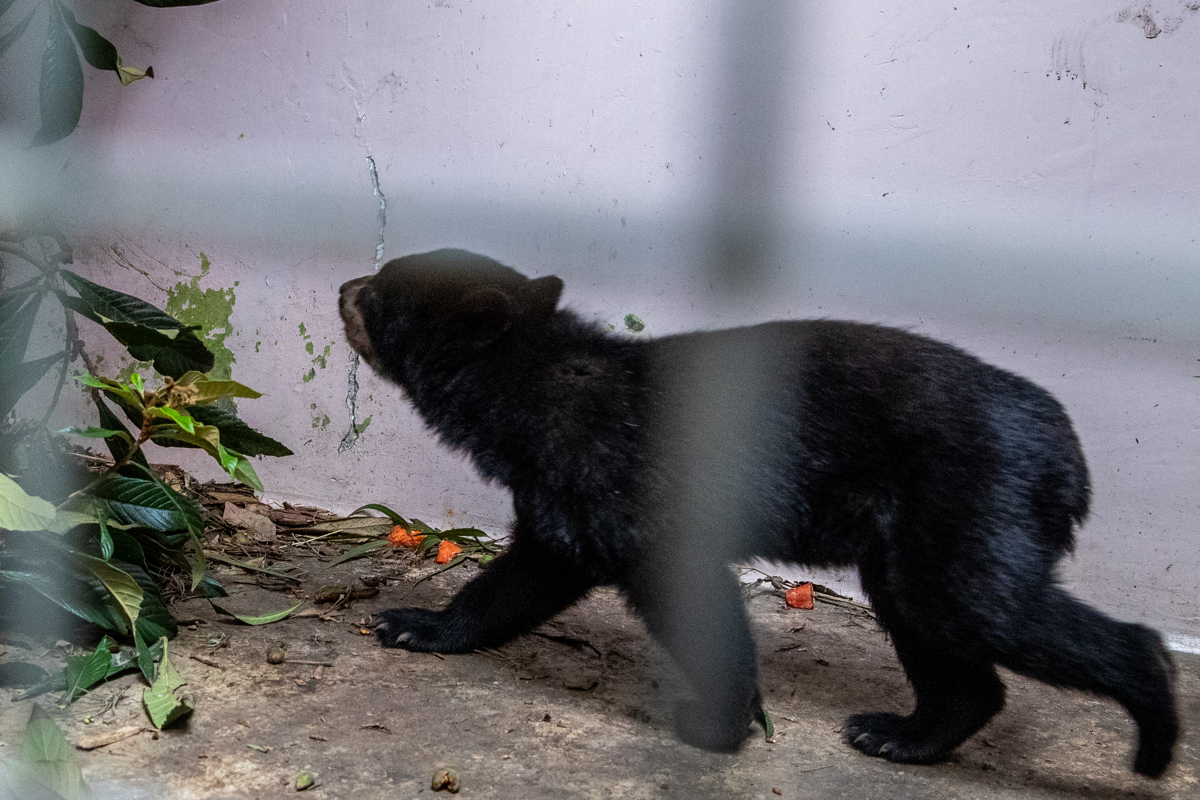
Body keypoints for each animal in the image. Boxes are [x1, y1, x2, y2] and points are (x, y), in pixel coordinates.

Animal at [338, 248, 1177, 777]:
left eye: (380, 293)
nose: (343, 287)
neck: (532, 383)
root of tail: (1068, 458)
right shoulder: (564, 496)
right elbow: (528, 574)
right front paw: (417, 624)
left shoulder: (618, 477)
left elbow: (687, 592)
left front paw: (716, 723)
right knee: (936, 627)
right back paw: (902, 735)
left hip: (968, 497)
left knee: (984, 605)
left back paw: (1155, 728)